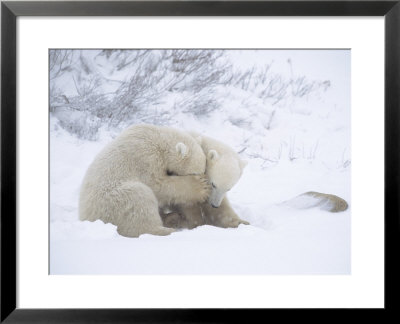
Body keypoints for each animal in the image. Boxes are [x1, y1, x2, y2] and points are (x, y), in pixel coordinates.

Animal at [77, 124, 209, 238]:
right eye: (195, 173)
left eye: (203, 170)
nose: (204, 177)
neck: (157, 138)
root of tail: (85, 217)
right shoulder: (146, 157)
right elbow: (157, 184)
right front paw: (201, 187)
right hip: (111, 202)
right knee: (140, 198)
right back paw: (167, 229)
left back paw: (172, 218)